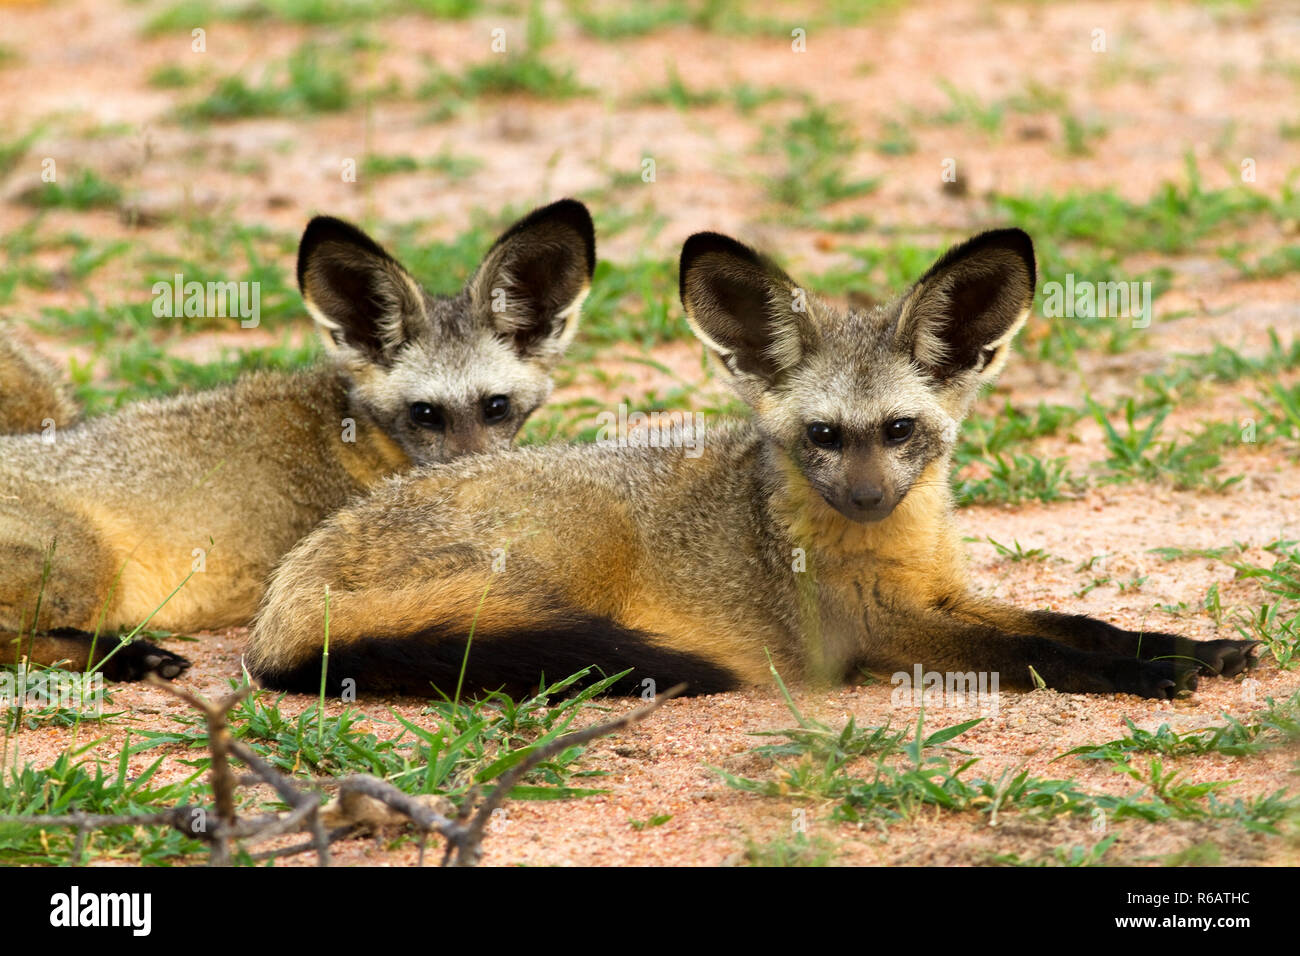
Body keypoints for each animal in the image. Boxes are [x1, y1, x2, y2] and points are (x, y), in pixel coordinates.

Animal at [0, 197, 595, 686]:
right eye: (424, 414)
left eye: (496, 407)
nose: (468, 481)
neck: (354, 441)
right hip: (84, 566)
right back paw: (125, 655)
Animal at [245, 227, 1258, 697]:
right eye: (822, 436)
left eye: (900, 431)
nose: (865, 497)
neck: (894, 550)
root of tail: (281, 602)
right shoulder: (882, 631)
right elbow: (1040, 652)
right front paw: (1149, 676)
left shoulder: (944, 596)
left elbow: (1077, 623)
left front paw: (1189, 649)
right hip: (571, 549)